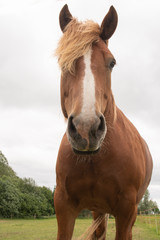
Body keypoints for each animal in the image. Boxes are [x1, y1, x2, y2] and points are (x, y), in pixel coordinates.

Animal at [54, 4, 153, 240]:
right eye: (63, 63)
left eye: (112, 62)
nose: (86, 129)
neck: (95, 159)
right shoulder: (63, 206)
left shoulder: (126, 212)